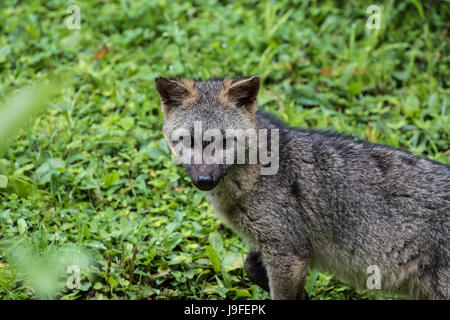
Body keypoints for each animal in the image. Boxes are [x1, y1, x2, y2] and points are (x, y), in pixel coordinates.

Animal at [156, 75, 450, 300]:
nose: (204, 180)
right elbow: (250, 266)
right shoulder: (281, 246)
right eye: (188, 140)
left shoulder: (287, 253)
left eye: (226, 141)